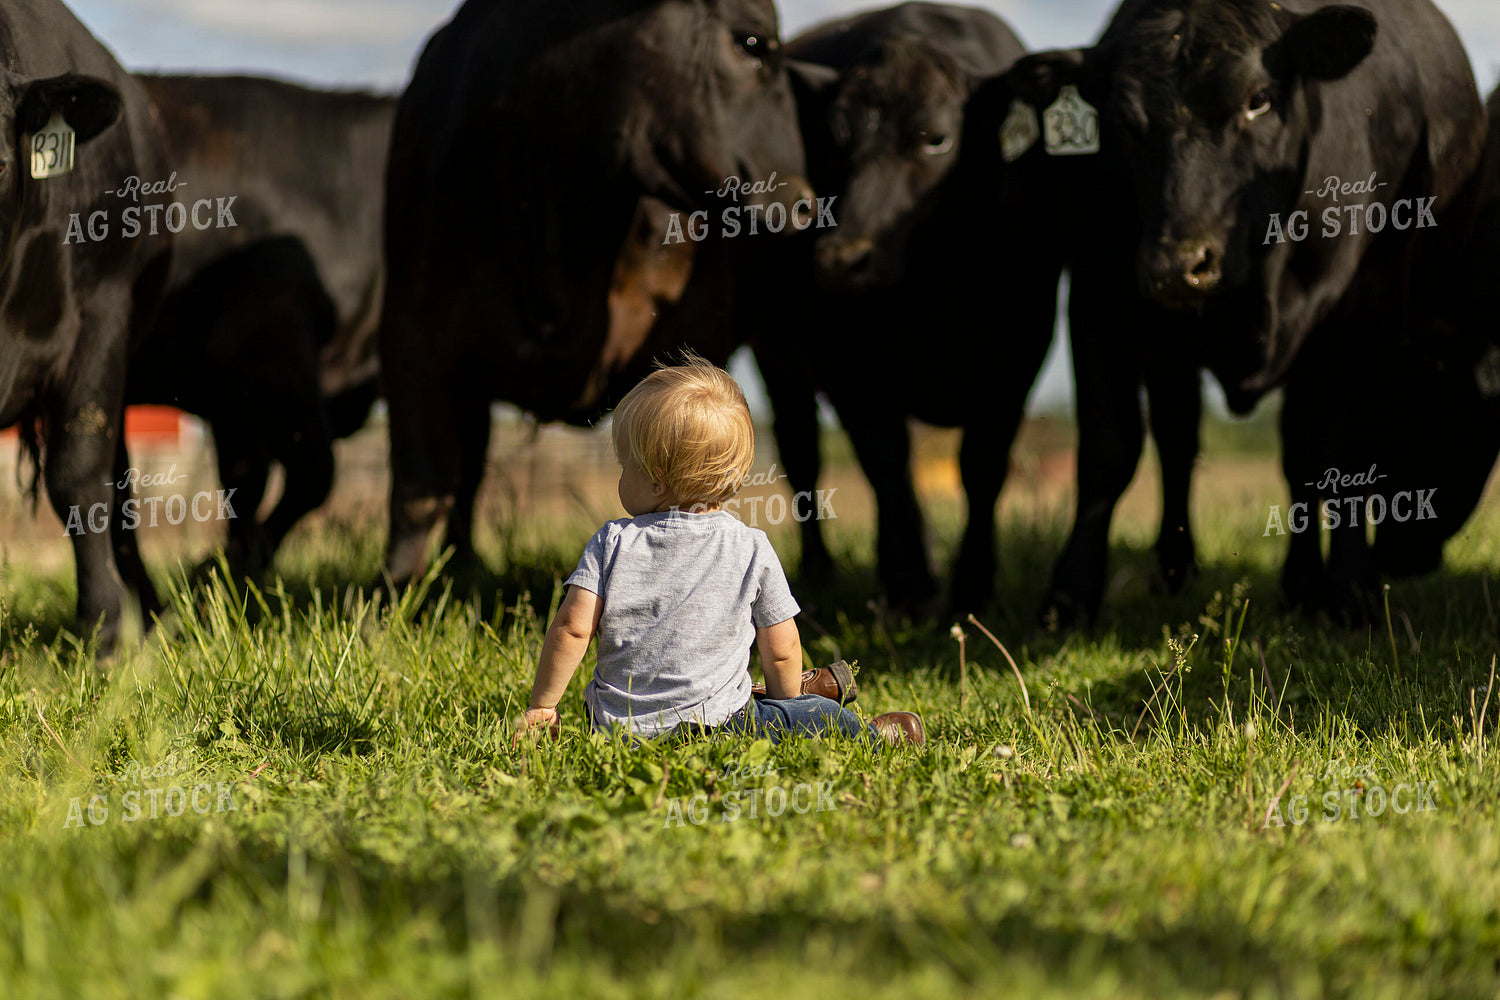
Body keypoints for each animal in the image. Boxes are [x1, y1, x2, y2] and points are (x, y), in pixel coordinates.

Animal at [122, 75, 395, 580]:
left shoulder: (234, 400)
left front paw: (226, 569)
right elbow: (313, 473)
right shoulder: (262, 355)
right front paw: (228, 566)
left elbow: (246, 483)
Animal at [1004, 0, 1487, 623]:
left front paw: (1349, 591)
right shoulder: (1099, 291)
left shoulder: (1362, 306)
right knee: (1179, 438)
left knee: (1299, 455)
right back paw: (1178, 567)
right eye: (1119, 121)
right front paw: (1070, 597)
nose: (1176, 265)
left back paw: (1303, 584)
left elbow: (1341, 450)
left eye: (1259, 98)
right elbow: (1110, 448)